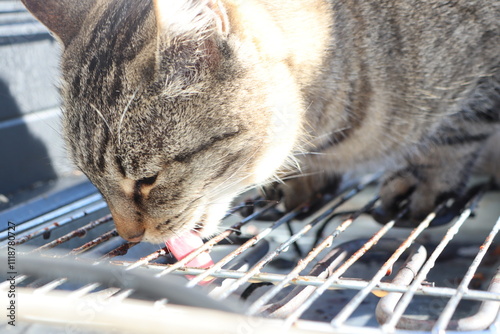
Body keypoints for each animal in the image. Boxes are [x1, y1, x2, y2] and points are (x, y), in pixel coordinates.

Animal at [21, 0, 500, 245]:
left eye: (147, 180)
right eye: (90, 180)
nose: (128, 237)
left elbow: (458, 132)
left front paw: (426, 178)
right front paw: (304, 183)